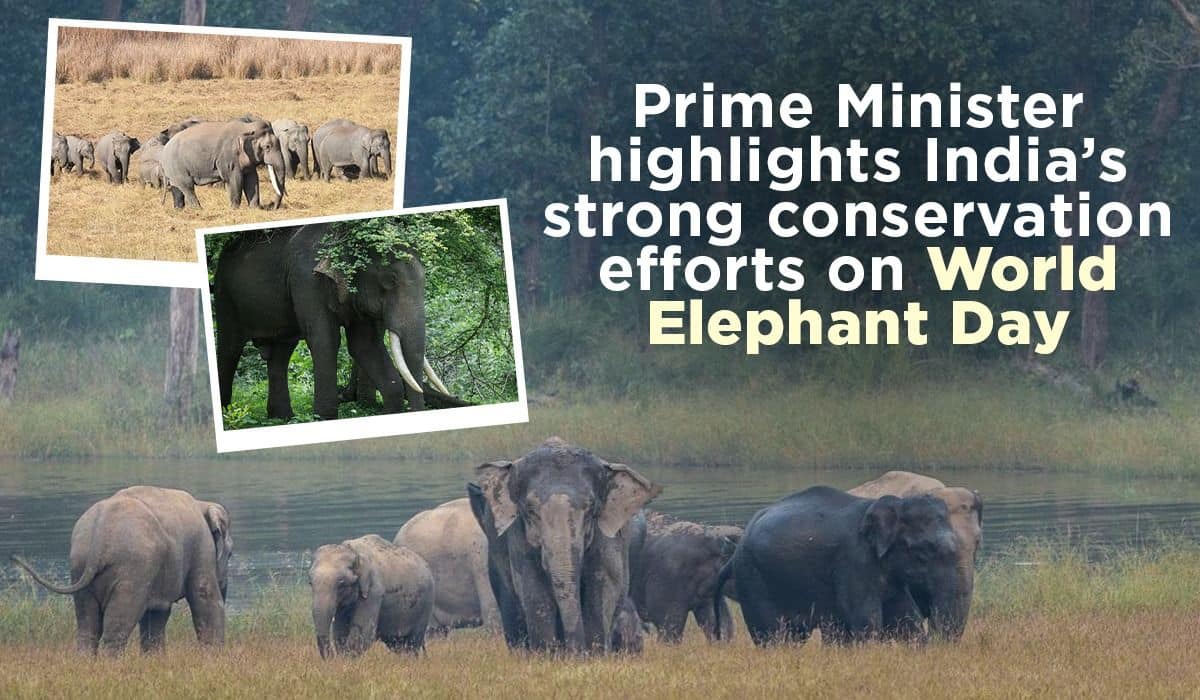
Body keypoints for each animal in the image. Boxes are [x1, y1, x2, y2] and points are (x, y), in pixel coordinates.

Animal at [10, 485, 232, 656]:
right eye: (229, 555)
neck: (202, 504)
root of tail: (100, 534)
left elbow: (157, 613)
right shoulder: (202, 547)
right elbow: (204, 596)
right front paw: (213, 658)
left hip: (79, 565)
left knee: (87, 628)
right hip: (132, 571)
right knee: (117, 628)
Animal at [213, 222, 450, 420]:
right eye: (390, 280)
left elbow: (364, 346)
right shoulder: (306, 280)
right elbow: (325, 341)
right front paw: (324, 419)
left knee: (281, 353)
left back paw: (282, 418)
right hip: (225, 295)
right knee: (229, 348)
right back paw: (226, 413)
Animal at [473, 437, 663, 653]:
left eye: (591, 509)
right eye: (530, 510)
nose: (576, 652)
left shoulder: (609, 536)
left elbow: (602, 584)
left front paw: (593, 654)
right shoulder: (517, 535)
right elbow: (532, 587)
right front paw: (547, 655)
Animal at [719, 486, 969, 646]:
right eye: (924, 551)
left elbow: (906, 618)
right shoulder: (853, 560)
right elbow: (866, 619)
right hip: (752, 578)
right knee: (772, 635)